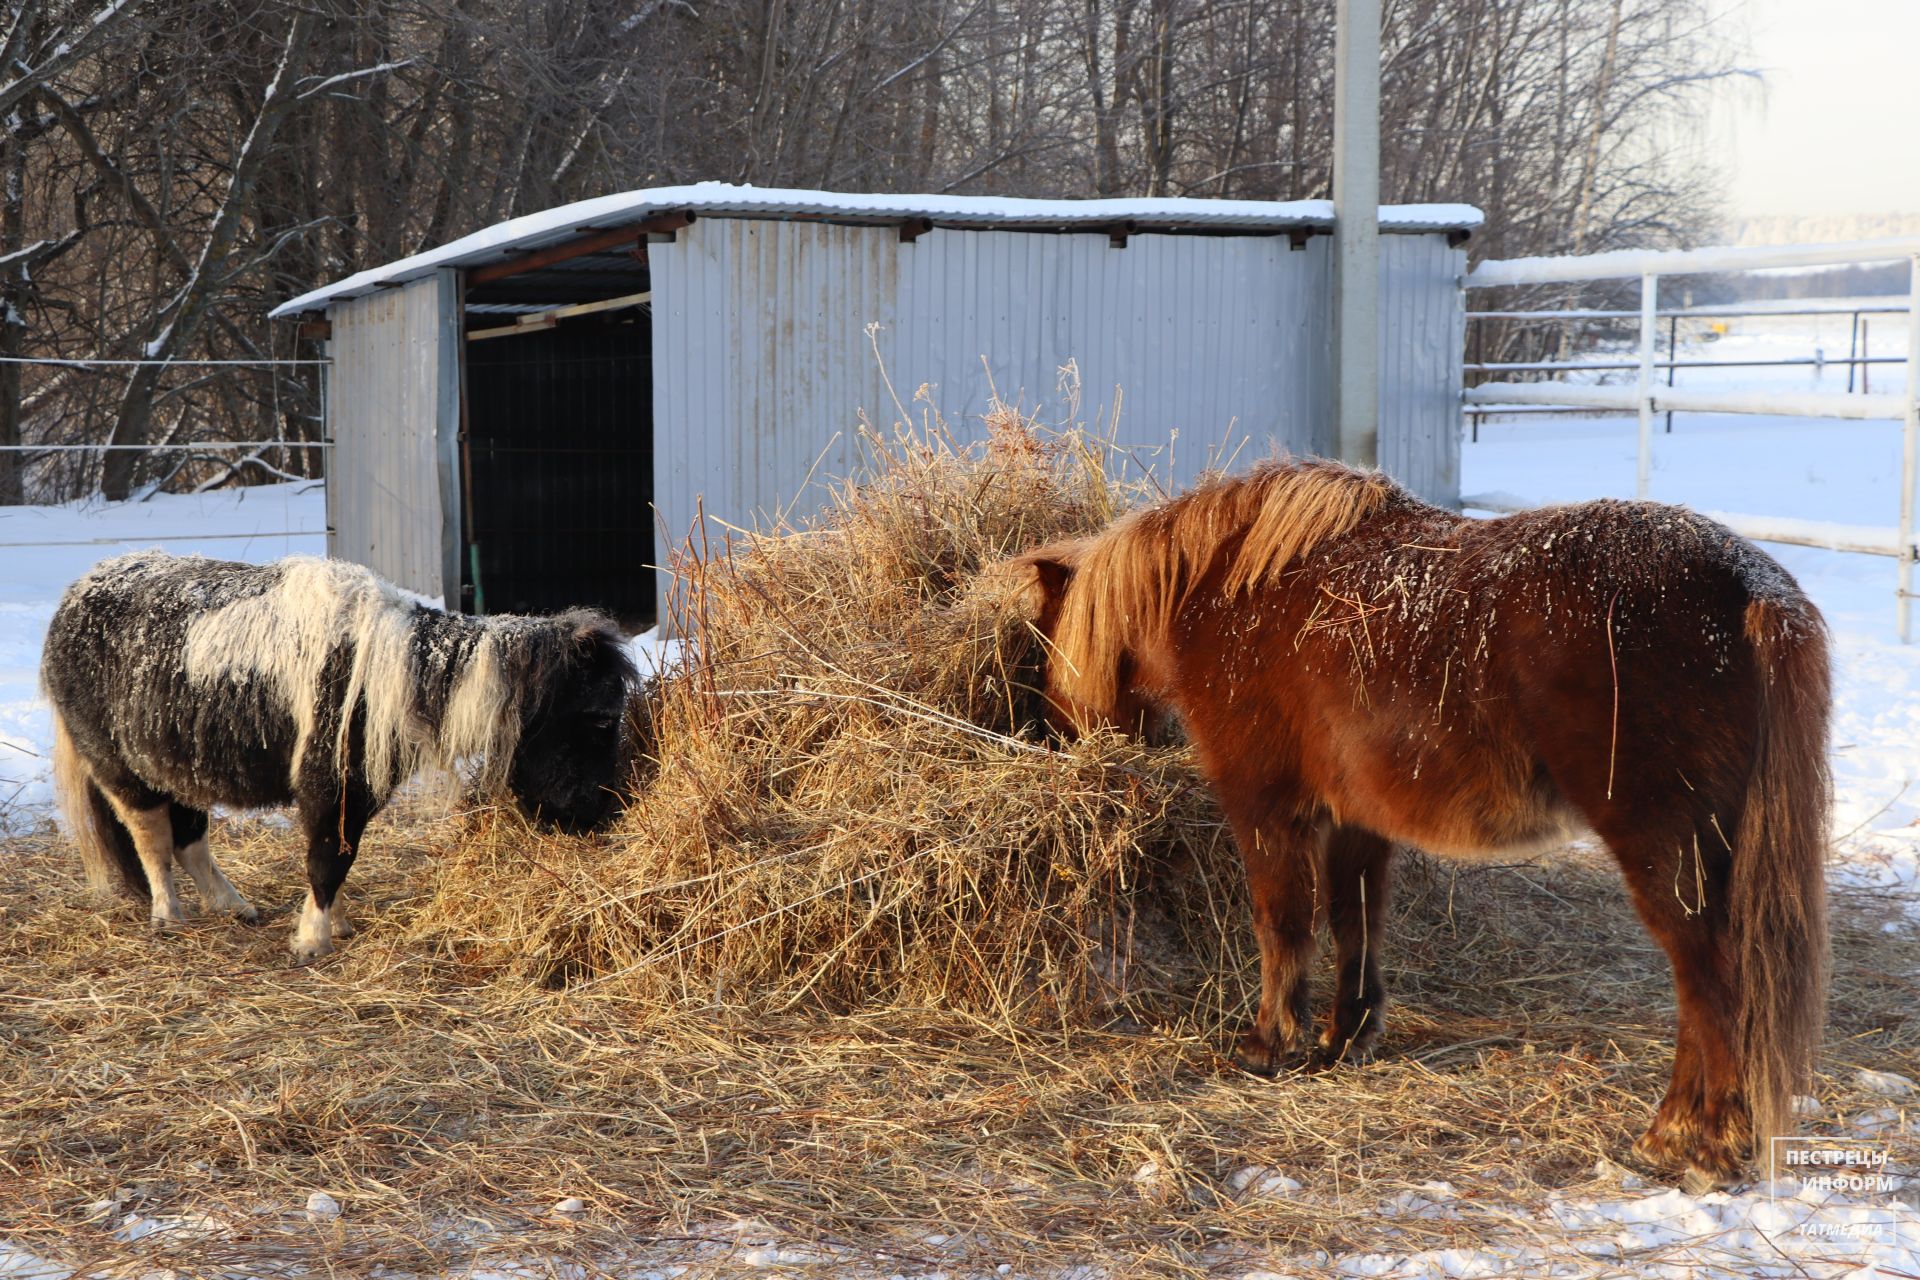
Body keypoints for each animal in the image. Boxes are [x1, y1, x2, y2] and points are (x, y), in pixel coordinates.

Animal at [42, 551, 637, 960]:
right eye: (601, 718)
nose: (600, 815)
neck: (398, 672)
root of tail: (70, 604)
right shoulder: (330, 787)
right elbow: (327, 859)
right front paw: (312, 940)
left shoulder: (357, 795)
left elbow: (342, 856)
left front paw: (335, 924)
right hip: (124, 772)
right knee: (153, 840)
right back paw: (168, 915)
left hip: (181, 769)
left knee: (189, 840)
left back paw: (236, 907)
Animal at [1002, 458, 1830, 1191]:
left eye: (1041, 655)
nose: (1047, 742)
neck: (1229, 590)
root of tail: (1747, 588)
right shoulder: (1356, 820)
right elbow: (1355, 918)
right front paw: (1344, 1038)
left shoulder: (1265, 806)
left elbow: (1283, 922)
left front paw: (1269, 1045)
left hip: (1666, 851)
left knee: (1709, 982)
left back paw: (1696, 1143)